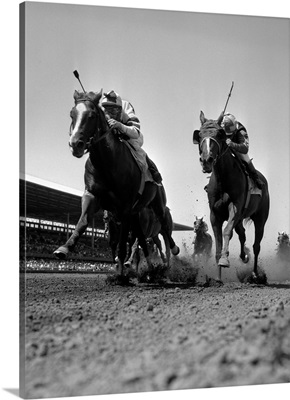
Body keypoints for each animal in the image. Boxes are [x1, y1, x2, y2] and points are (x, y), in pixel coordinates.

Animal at [53, 90, 178, 278]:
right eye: (72, 114)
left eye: (92, 115)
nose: (75, 144)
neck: (107, 164)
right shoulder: (93, 195)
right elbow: (83, 222)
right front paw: (64, 248)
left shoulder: (125, 206)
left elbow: (124, 242)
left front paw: (120, 270)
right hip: (136, 213)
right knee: (142, 239)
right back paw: (149, 267)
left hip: (157, 204)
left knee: (163, 227)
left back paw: (170, 254)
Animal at [193, 111, 270, 282]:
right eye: (199, 135)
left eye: (219, 134)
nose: (206, 160)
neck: (223, 179)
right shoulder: (215, 214)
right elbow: (218, 241)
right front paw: (218, 277)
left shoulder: (234, 208)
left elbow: (227, 231)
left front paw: (224, 260)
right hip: (241, 218)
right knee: (242, 234)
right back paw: (244, 256)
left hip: (260, 218)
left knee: (256, 245)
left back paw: (255, 273)